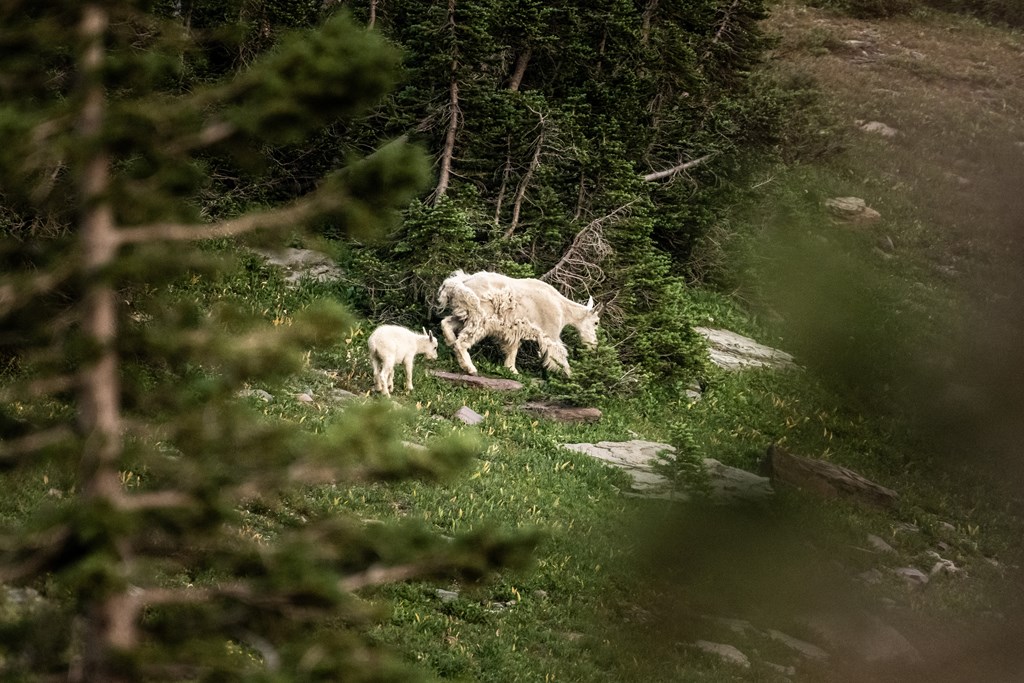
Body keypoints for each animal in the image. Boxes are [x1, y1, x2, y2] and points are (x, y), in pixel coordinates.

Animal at [434, 270, 598, 378]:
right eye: (596, 323)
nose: (594, 345)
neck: (563, 308)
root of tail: (459, 283)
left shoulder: (513, 328)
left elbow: (512, 348)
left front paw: (512, 370)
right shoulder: (551, 333)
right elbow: (560, 355)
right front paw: (572, 376)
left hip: (465, 313)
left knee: (446, 323)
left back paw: (450, 341)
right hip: (480, 317)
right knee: (462, 342)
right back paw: (470, 368)